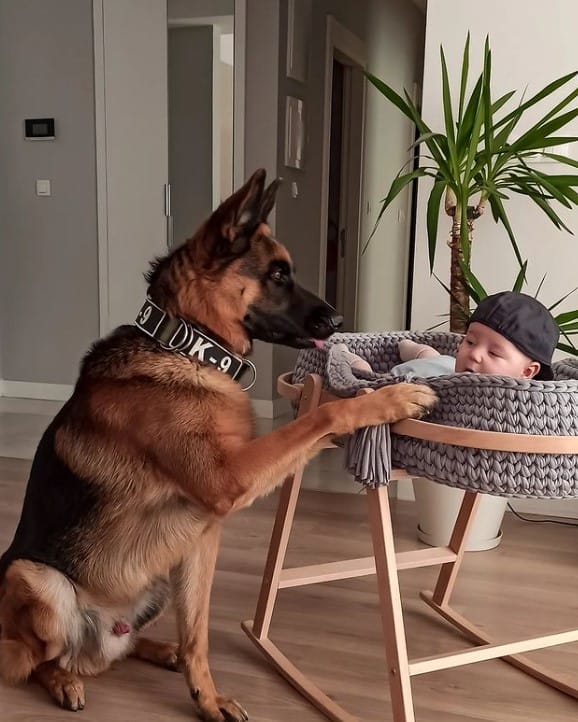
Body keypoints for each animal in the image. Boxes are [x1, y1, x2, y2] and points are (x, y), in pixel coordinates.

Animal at [0, 170, 434, 720]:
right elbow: (321, 414)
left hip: (154, 582)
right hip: (37, 579)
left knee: (116, 650)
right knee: (36, 661)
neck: (188, 346)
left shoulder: (202, 540)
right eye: (277, 274)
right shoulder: (228, 478)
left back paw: (155, 650)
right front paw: (390, 398)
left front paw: (204, 695)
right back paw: (62, 681)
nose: (339, 323)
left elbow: (197, 633)